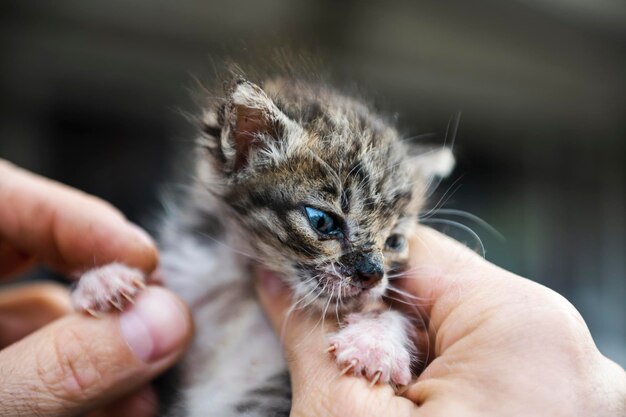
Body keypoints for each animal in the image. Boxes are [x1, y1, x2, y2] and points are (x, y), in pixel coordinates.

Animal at [72, 73, 454, 414]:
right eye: (323, 221)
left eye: (394, 241)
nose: (372, 273)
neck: (243, 291)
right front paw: (104, 281)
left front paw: (374, 344)